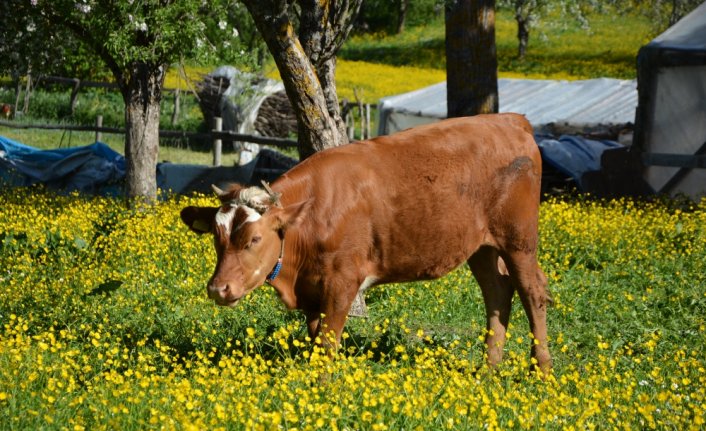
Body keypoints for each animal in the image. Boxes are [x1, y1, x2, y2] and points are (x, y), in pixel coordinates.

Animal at [180, 113, 552, 372]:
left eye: (255, 238)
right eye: (217, 238)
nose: (218, 289)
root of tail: (510, 120)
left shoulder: (342, 283)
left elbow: (328, 344)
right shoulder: (312, 292)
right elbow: (315, 342)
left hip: (518, 241)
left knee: (532, 293)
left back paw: (541, 371)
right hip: (481, 248)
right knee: (497, 294)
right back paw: (488, 370)